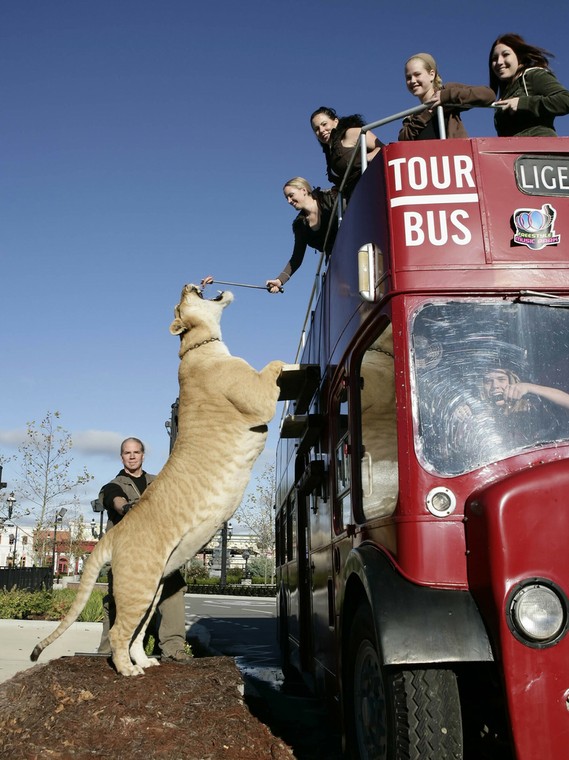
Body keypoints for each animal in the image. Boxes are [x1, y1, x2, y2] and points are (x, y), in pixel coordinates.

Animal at [31, 284, 284, 676]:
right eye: (180, 303)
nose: (188, 285)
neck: (197, 344)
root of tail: (114, 532)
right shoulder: (256, 400)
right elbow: (274, 364)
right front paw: (290, 361)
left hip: (151, 588)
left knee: (137, 633)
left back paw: (146, 661)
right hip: (138, 583)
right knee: (119, 631)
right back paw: (127, 670)